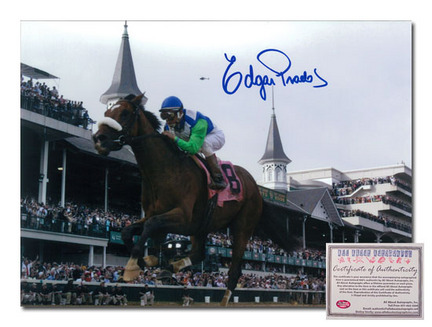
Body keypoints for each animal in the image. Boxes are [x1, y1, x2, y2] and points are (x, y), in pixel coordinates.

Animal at [93, 94, 296, 308]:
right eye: (107, 111)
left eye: (124, 113)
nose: (99, 139)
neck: (164, 171)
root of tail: (257, 189)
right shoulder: (158, 216)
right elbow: (129, 231)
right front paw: (146, 261)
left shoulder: (182, 217)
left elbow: (151, 225)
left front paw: (134, 265)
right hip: (202, 226)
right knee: (199, 253)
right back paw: (171, 267)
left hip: (243, 226)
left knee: (234, 271)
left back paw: (223, 300)